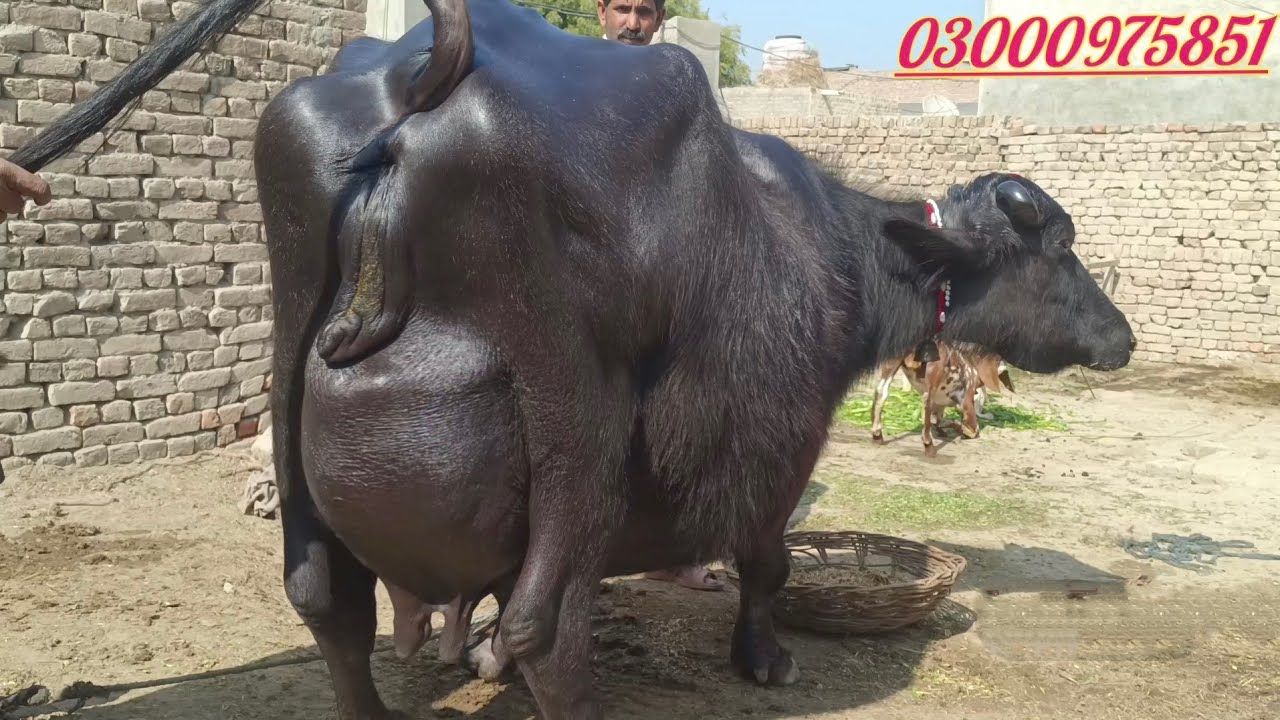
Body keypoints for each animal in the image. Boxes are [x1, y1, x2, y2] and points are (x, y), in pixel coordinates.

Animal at [9, 0, 1136, 718]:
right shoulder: (784, 443)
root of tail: (424, 76)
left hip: (294, 396)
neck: (838, 254)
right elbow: (764, 561)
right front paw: (765, 658)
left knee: (327, 602)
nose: (1121, 336)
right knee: (547, 627)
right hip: (574, 432)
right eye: (1057, 247)